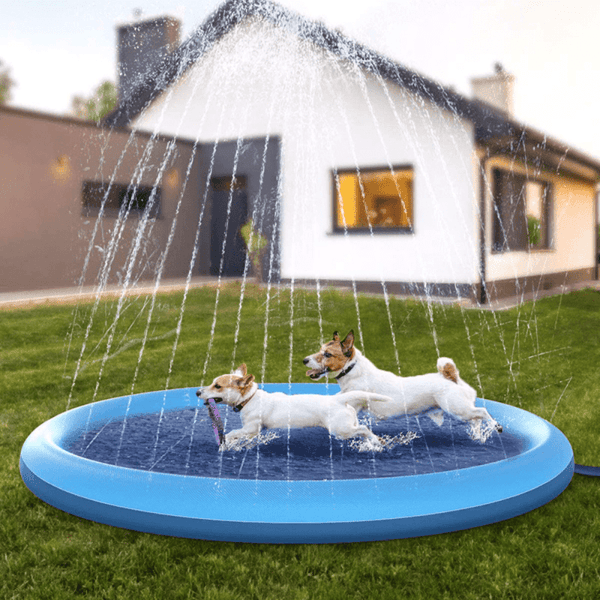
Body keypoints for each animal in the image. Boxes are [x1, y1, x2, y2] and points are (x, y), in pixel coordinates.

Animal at [197, 364, 394, 448]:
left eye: (217, 386)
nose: (197, 392)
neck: (250, 398)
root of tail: (337, 400)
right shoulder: (252, 431)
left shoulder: (251, 428)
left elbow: (232, 433)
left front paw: (226, 440)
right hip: (346, 426)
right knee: (362, 430)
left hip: (340, 429)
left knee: (363, 429)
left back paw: (376, 440)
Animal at [302, 330, 500, 434]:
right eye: (320, 350)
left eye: (327, 354)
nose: (304, 360)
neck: (352, 370)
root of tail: (451, 377)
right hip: (461, 410)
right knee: (476, 418)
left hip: (457, 408)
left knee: (482, 412)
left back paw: (495, 426)